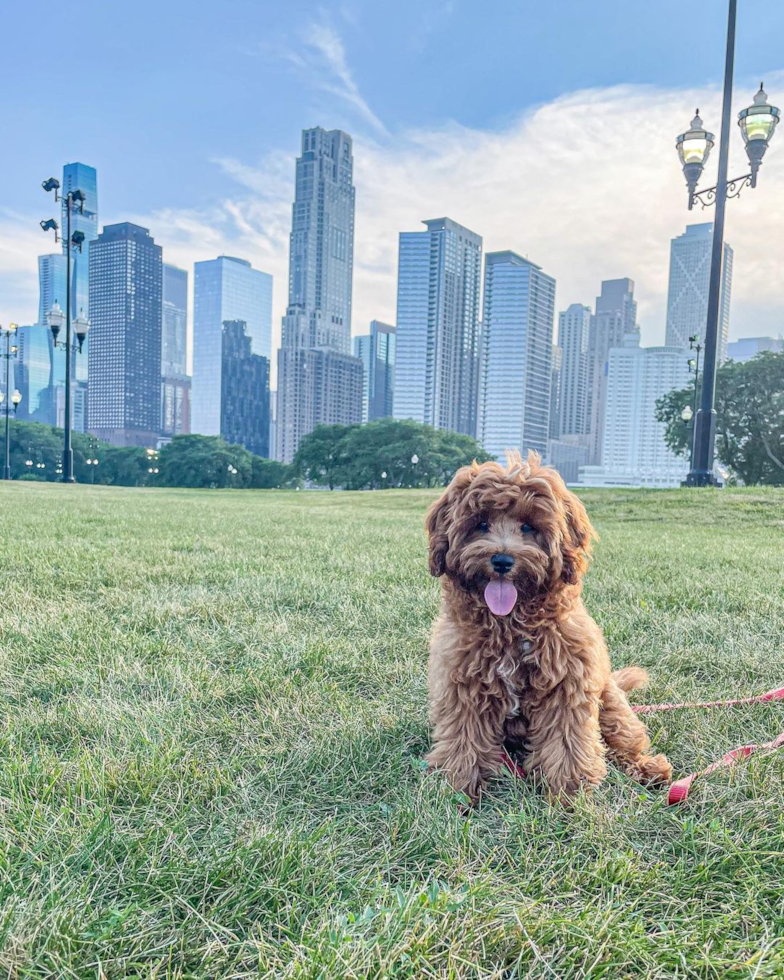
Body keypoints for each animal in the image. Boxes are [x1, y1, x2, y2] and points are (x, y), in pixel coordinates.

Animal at [426, 452, 672, 804]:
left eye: (528, 526)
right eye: (481, 524)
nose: (502, 561)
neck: (511, 628)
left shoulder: (568, 682)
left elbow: (567, 740)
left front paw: (569, 791)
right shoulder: (463, 685)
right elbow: (464, 737)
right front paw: (457, 788)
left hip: (611, 704)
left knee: (626, 742)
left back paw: (648, 768)